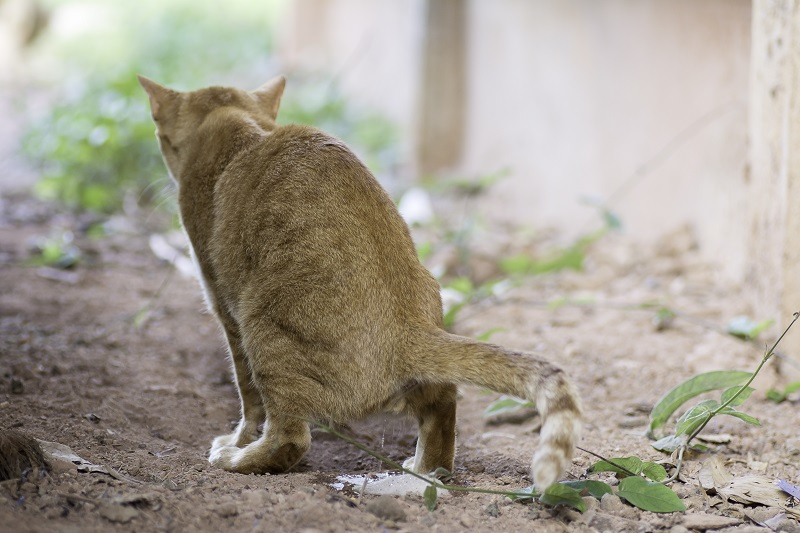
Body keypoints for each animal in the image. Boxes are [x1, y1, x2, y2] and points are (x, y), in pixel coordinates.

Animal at [139, 75, 580, 490]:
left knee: (289, 438)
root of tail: (408, 328)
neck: (235, 124)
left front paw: (237, 441)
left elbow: (248, 400)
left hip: (262, 328)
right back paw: (425, 468)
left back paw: (239, 459)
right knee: (443, 405)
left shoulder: (224, 306)